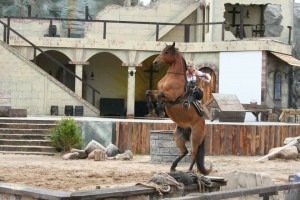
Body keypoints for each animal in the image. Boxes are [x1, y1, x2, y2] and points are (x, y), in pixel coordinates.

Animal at [145, 42, 211, 175]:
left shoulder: (171, 96)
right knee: (184, 151)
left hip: (195, 138)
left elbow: (160, 97)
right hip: (178, 135)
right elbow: (148, 92)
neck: (172, 77)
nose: (155, 62)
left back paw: (189, 172)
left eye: (166, 52)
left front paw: (160, 111)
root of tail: (204, 126)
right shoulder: (158, 91)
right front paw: (151, 111)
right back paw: (173, 166)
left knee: (193, 155)